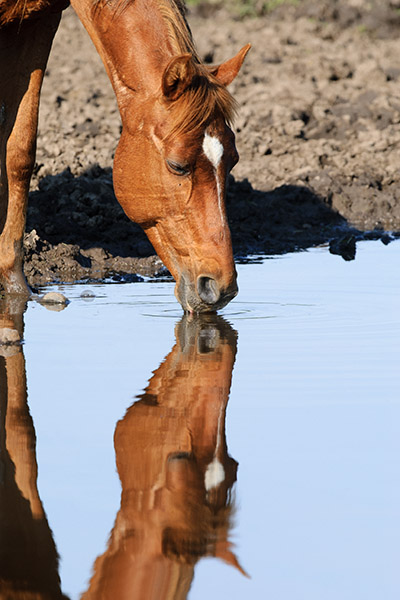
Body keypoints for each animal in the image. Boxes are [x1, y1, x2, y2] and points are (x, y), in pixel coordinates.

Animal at [0, 2, 250, 314]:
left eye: (233, 160)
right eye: (177, 166)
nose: (220, 288)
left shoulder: (38, 23)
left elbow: (19, 151)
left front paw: (15, 286)